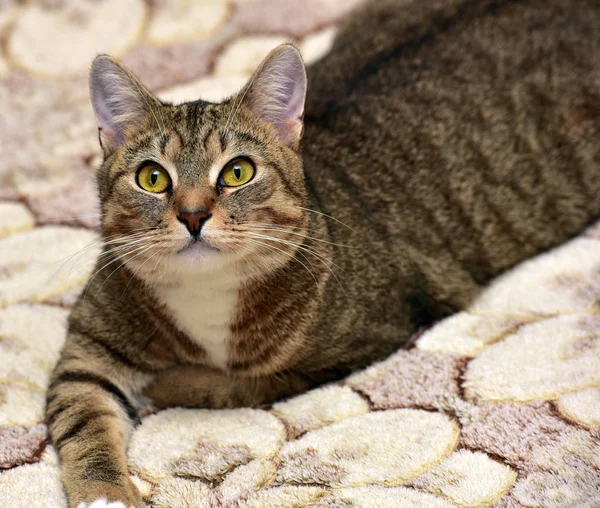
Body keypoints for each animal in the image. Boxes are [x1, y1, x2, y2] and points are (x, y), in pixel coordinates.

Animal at [45, 0, 600, 506]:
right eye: (153, 178)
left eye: (238, 171)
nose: (194, 214)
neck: (207, 296)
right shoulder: (88, 351)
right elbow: (81, 422)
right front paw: (104, 492)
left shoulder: (362, 338)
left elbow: (242, 382)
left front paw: (175, 382)